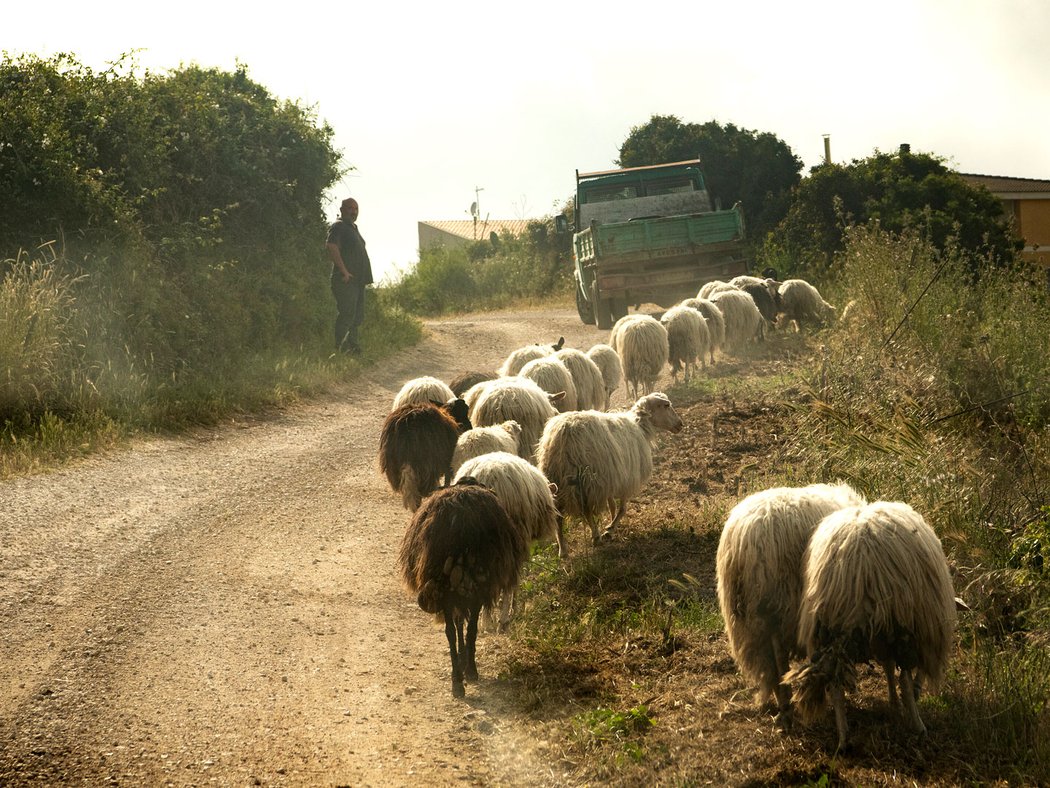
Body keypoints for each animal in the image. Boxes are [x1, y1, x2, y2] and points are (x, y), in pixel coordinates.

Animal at [394, 481, 529, 697]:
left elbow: (460, 628)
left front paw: (464, 664)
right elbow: (464, 628)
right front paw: (466, 664)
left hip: (451, 592)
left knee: (452, 630)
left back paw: (458, 678)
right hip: (464, 591)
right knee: (462, 628)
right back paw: (462, 674)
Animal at [537, 392, 684, 546]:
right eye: (666, 405)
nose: (680, 424)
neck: (641, 426)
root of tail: (563, 432)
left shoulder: (610, 477)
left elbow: (612, 505)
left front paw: (612, 526)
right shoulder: (627, 478)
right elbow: (623, 509)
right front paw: (610, 529)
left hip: (557, 478)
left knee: (558, 517)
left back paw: (563, 547)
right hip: (586, 479)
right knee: (586, 510)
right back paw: (596, 536)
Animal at [713, 481, 869, 722]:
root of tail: (742, 543)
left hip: (749, 619)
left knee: (767, 663)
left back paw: (780, 699)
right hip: (778, 601)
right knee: (778, 655)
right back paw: (786, 700)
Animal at [789, 502, 957, 748]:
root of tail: (859, 564)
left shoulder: (882, 640)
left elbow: (887, 667)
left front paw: (893, 701)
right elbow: (902, 675)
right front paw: (902, 702)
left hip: (828, 630)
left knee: (836, 686)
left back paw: (843, 739)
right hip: (901, 626)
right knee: (905, 680)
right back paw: (918, 726)